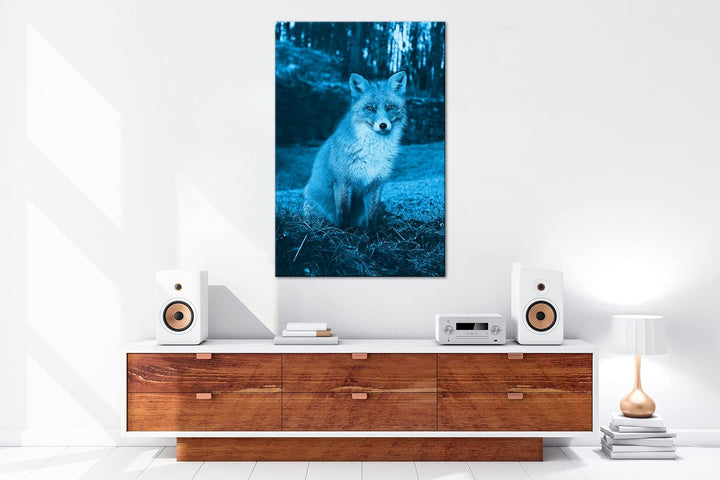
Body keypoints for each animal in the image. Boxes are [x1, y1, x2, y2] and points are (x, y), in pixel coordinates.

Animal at [303, 71, 407, 230]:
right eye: (370, 108)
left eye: (390, 107)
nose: (383, 125)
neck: (373, 151)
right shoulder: (342, 182)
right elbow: (342, 213)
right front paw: (343, 232)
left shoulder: (376, 184)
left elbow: (372, 216)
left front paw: (372, 234)